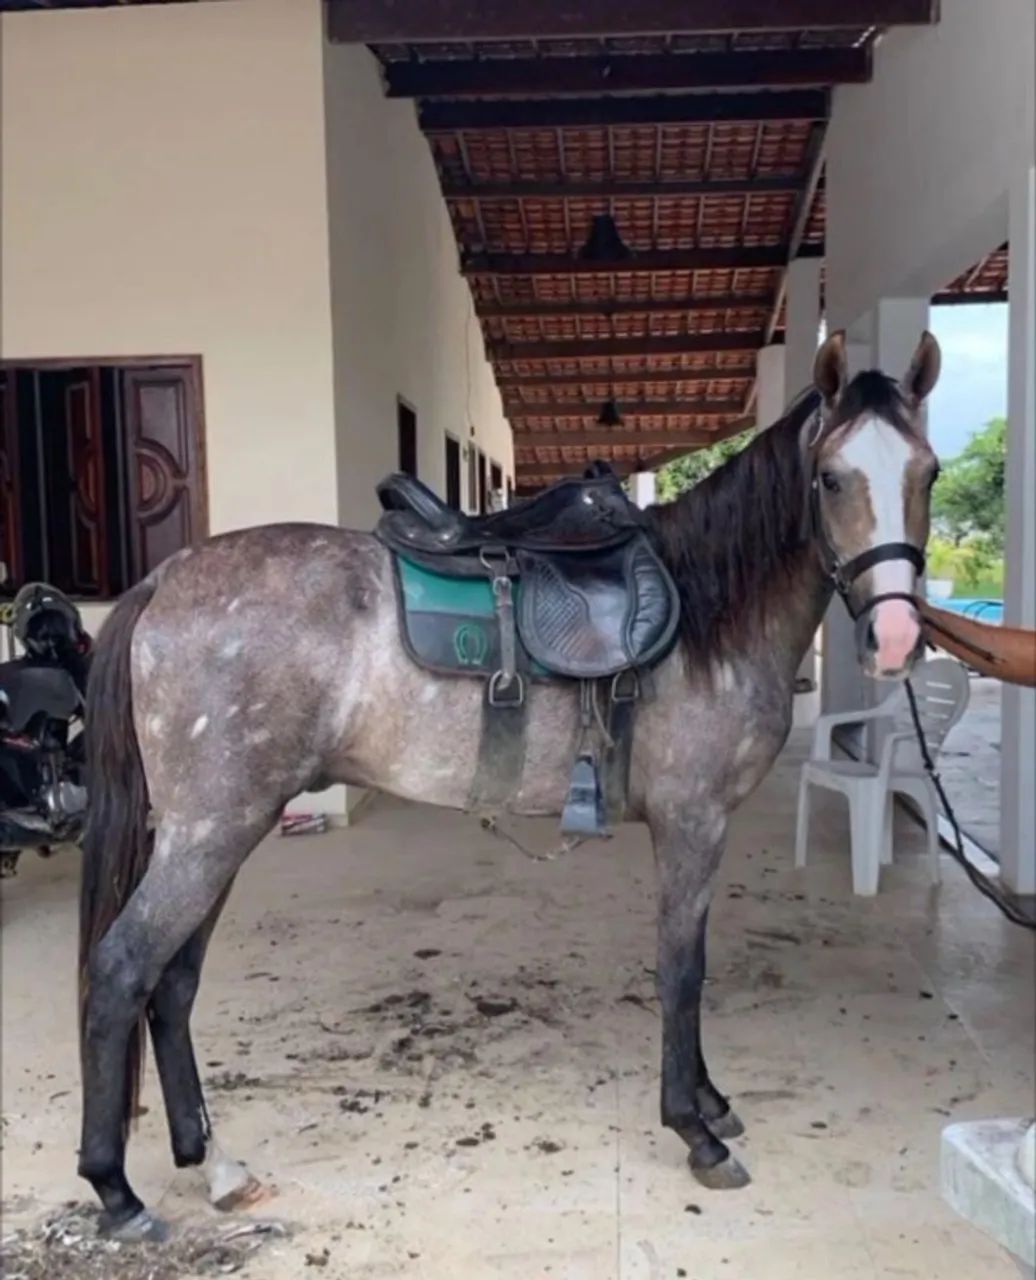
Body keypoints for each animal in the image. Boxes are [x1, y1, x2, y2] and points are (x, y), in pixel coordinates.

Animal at [76, 329, 941, 1241]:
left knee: (171, 982)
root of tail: (164, 579)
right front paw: (694, 1128)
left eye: (928, 473)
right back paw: (116, 1190)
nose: (894, 637)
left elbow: (691, 961)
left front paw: (709, 1100)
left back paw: (210, 1160)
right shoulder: (693, 823)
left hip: (219, 832)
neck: (710, 614)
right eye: (831, 477)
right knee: (122, 970)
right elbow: (682, 968)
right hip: (210, 833)